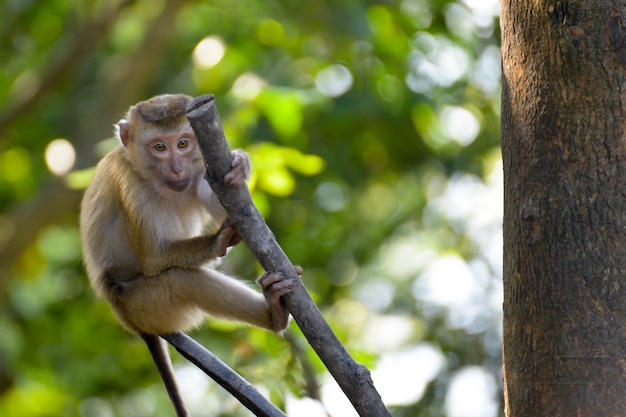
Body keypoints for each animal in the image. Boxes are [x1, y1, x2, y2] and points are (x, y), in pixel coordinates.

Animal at [79, 94, 298, 416]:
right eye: (159, 147)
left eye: (183, 143)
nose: (177, 168)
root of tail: (129, 322)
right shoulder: (126, 179)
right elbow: (154, 257)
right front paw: (218, 241)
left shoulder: (200, 172)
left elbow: (230, 205)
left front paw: (241, 165)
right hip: (143, 304)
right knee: (182, 280)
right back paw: (274, 315)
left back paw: (275, 308)